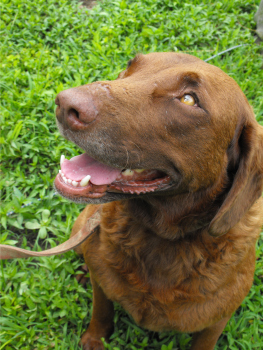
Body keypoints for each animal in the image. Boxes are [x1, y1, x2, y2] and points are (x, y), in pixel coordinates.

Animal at [54, 52, 263, 350]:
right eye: (131, 66)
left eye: (188, 100)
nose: (64, 103)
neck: (160, 238)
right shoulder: (102, 283)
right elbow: (101, 311)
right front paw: (94, 340)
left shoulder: (216, 322)